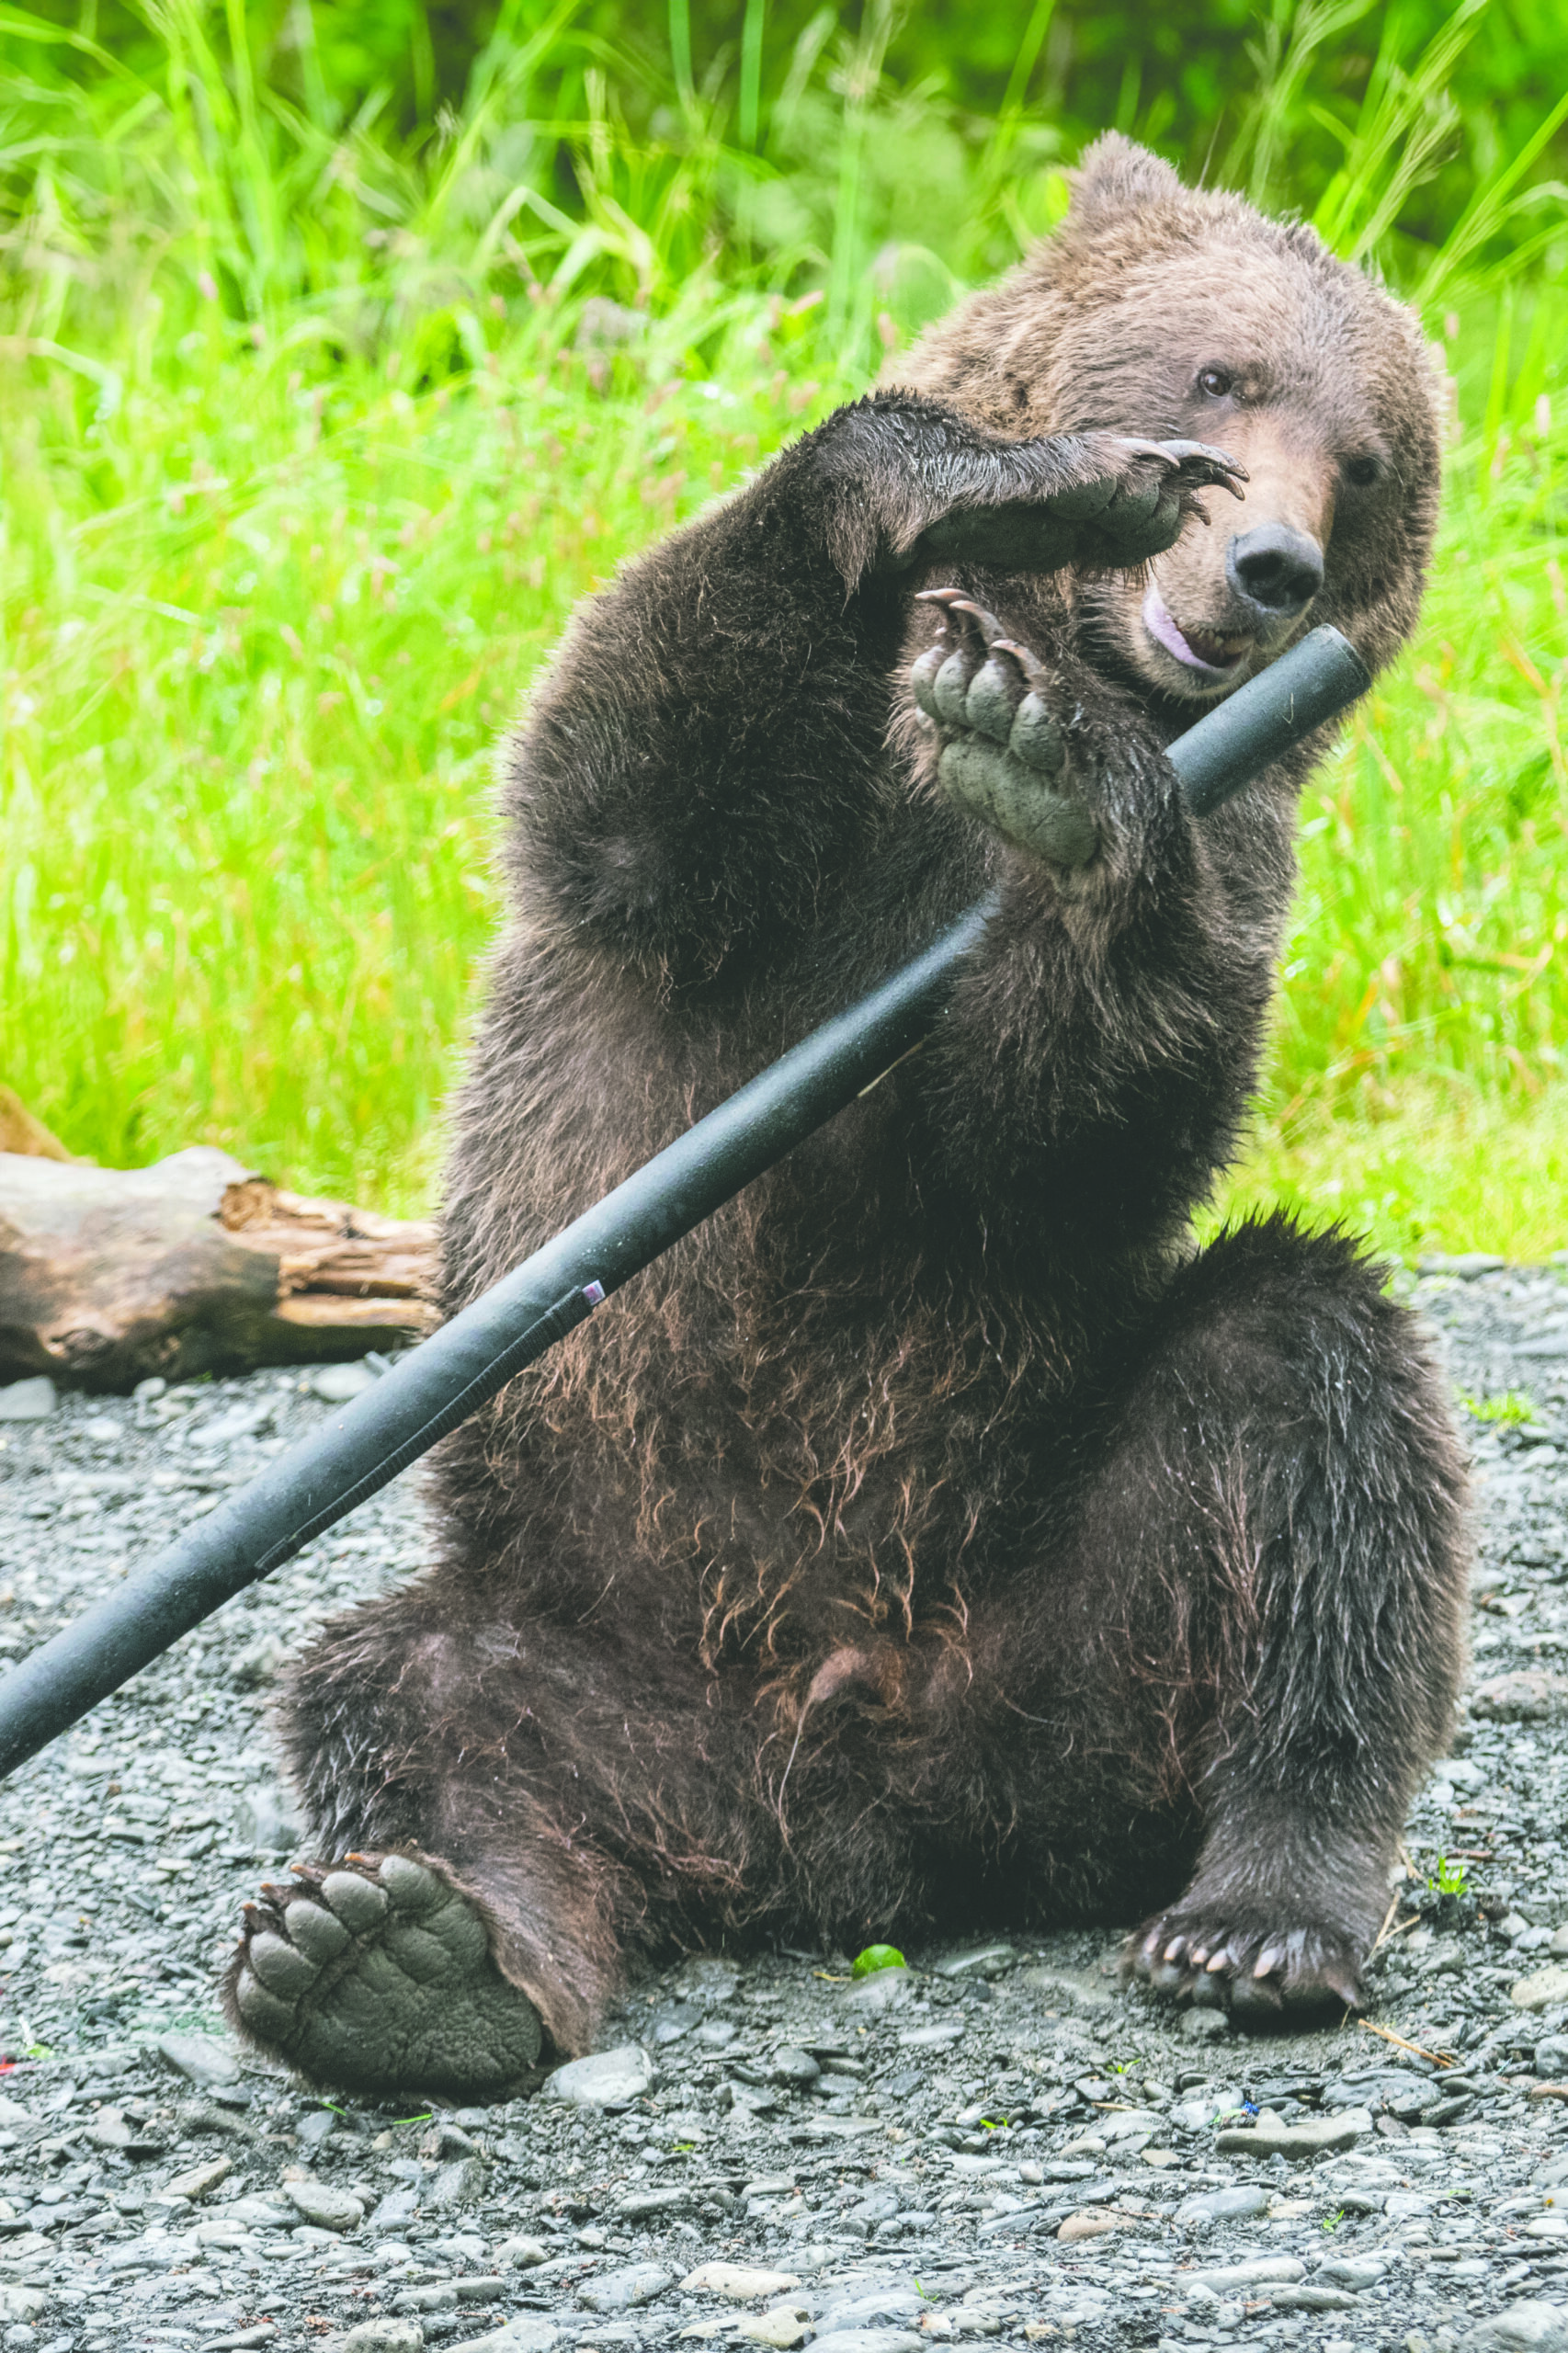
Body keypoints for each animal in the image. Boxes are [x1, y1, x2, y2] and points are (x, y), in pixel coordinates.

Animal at [222, 133, 1469, 2098]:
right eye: (1221, 378)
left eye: (1366, 462)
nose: (1268, 563)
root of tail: (833, 1823)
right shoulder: (756, 859)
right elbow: (627, 781)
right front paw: (996, 492)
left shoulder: (1242, 856)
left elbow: (1054, 1129)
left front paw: (1064, 785)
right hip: (571, 1601)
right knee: (411, 1706)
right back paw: (403, 1955)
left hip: (1061, 1601)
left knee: (1312, 1409)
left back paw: (1265, 1903)